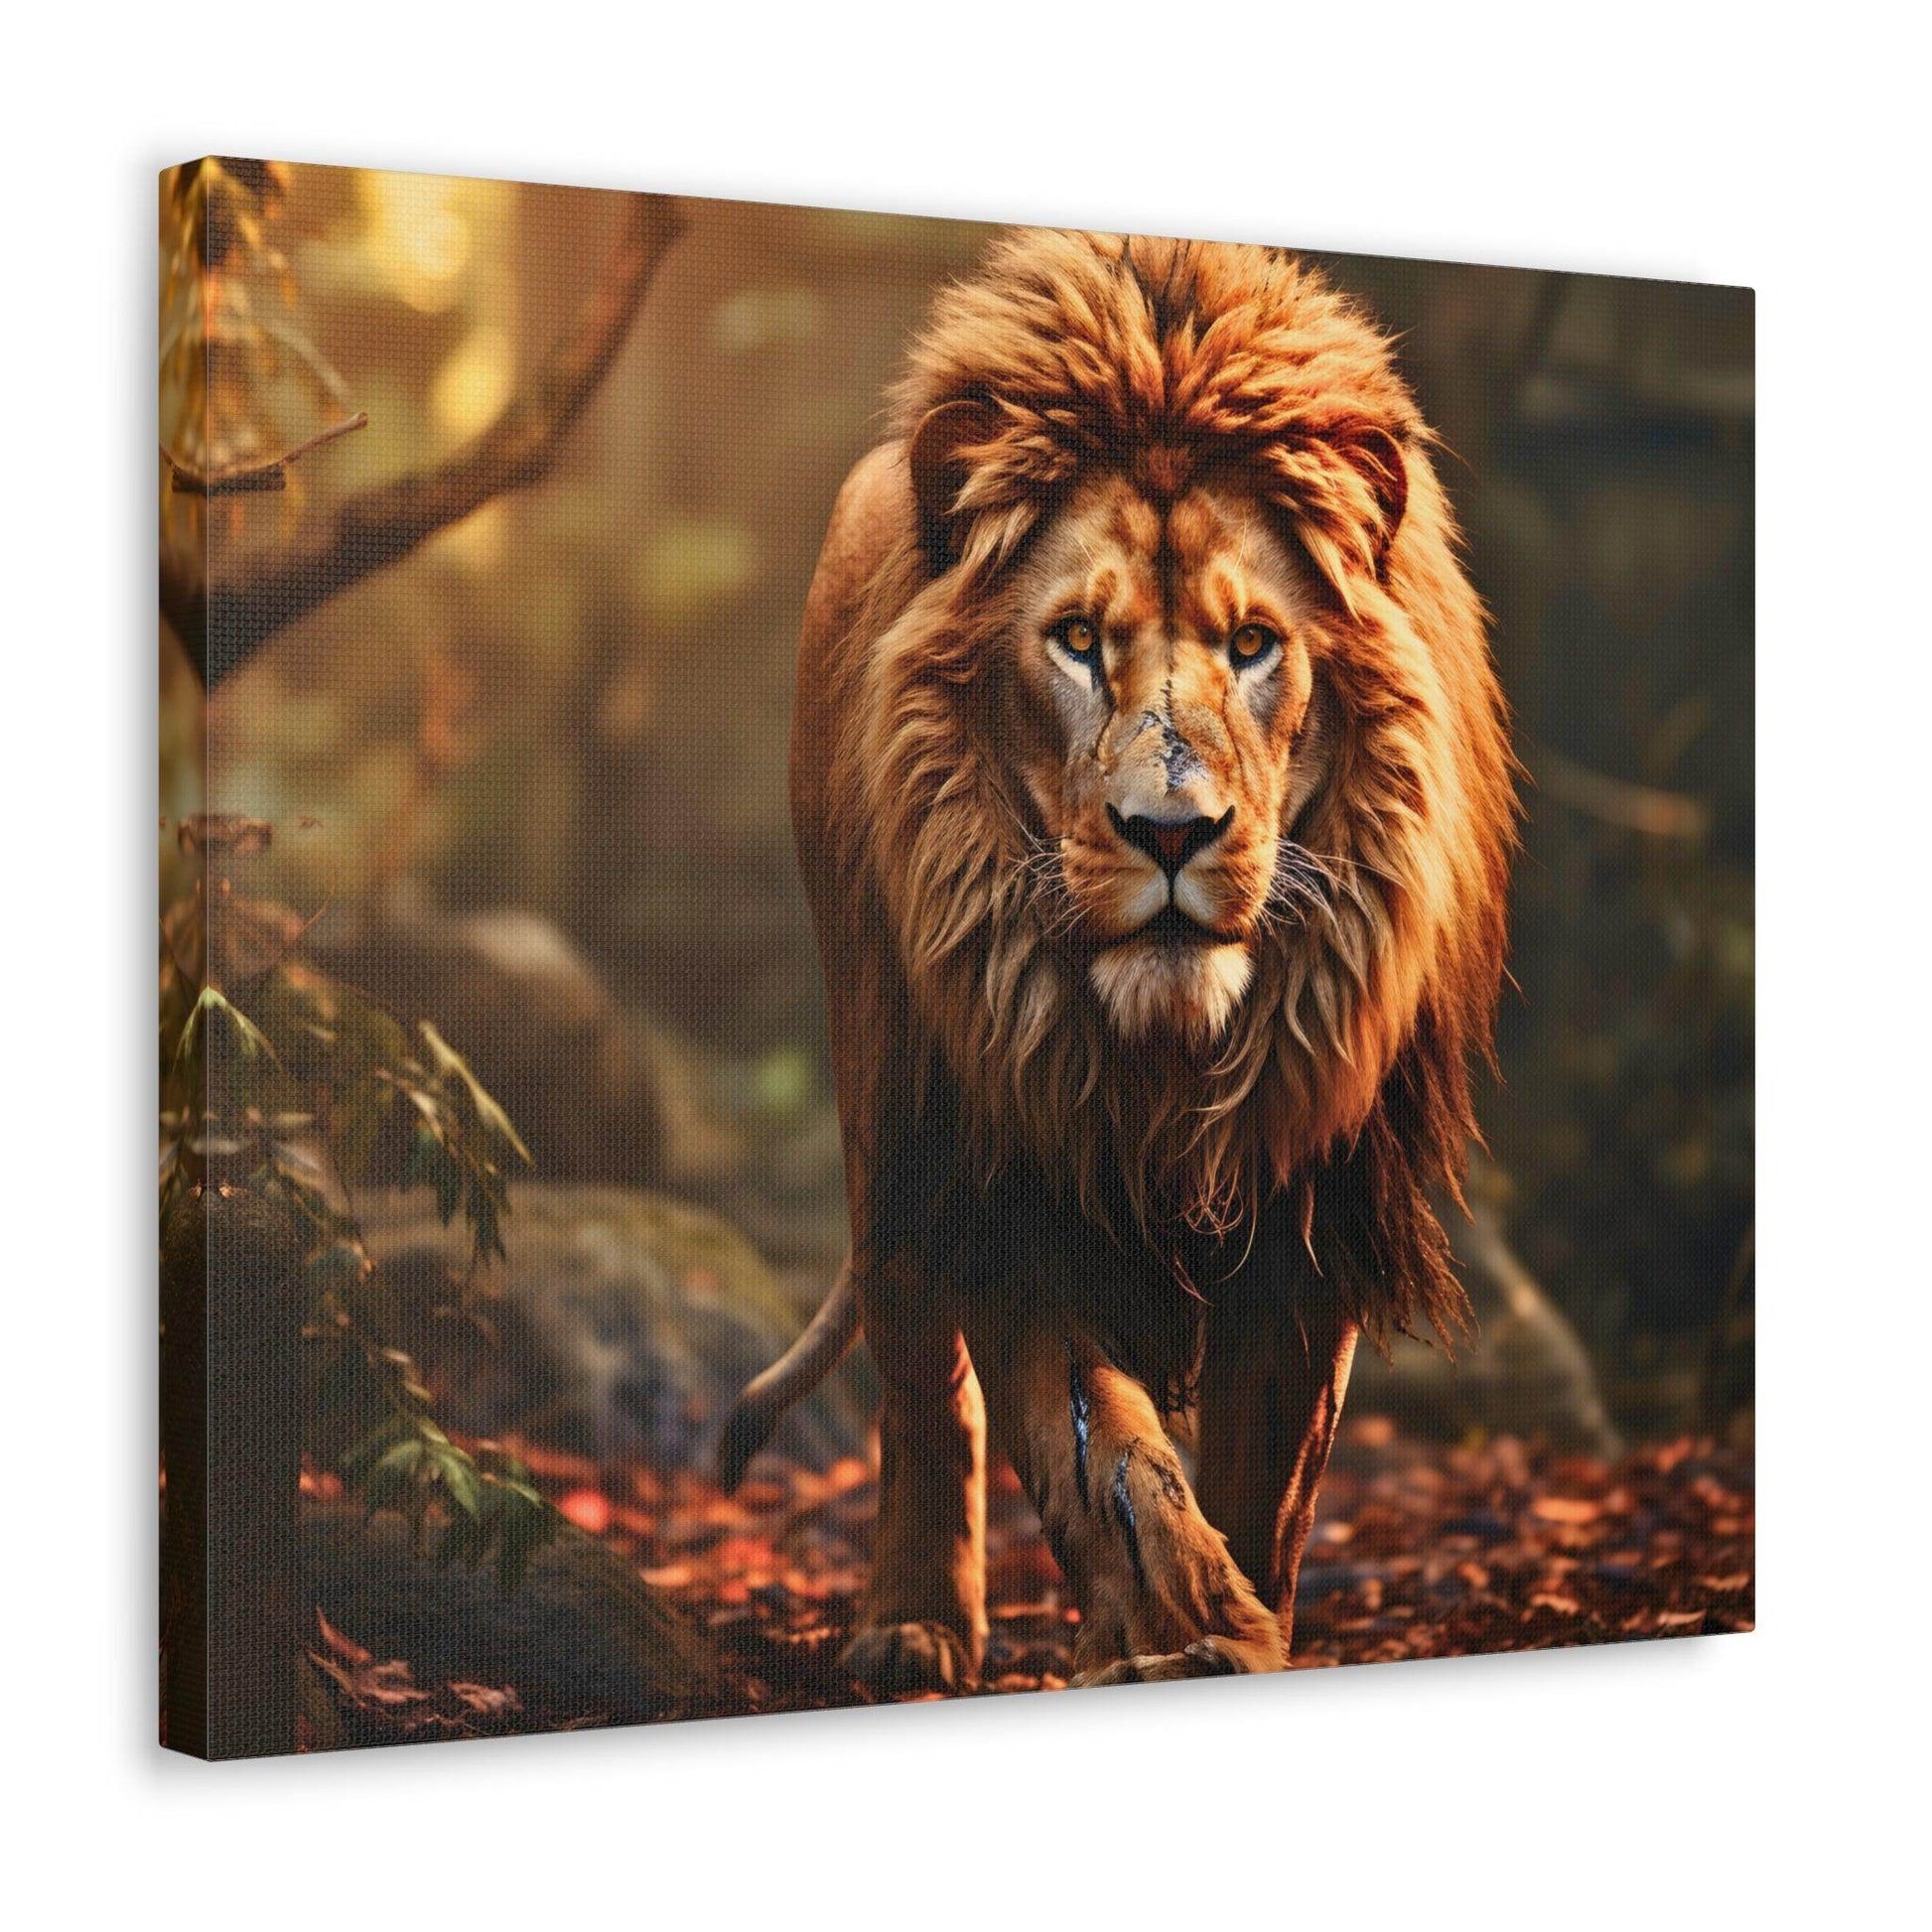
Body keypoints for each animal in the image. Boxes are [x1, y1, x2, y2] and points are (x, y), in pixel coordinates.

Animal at [719, 229, 1516, 1693]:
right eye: (1077, 640)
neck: (1171, 1059)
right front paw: (1178, 1623)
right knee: (922, 1378)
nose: (1170, 830)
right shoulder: (1010, 1170)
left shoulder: (1307, 1213)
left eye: (1252, 644)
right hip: (886, 1090)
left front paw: (1233, 1626)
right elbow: (1101, 1456)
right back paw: (913, 1623)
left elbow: (1265, 1483)